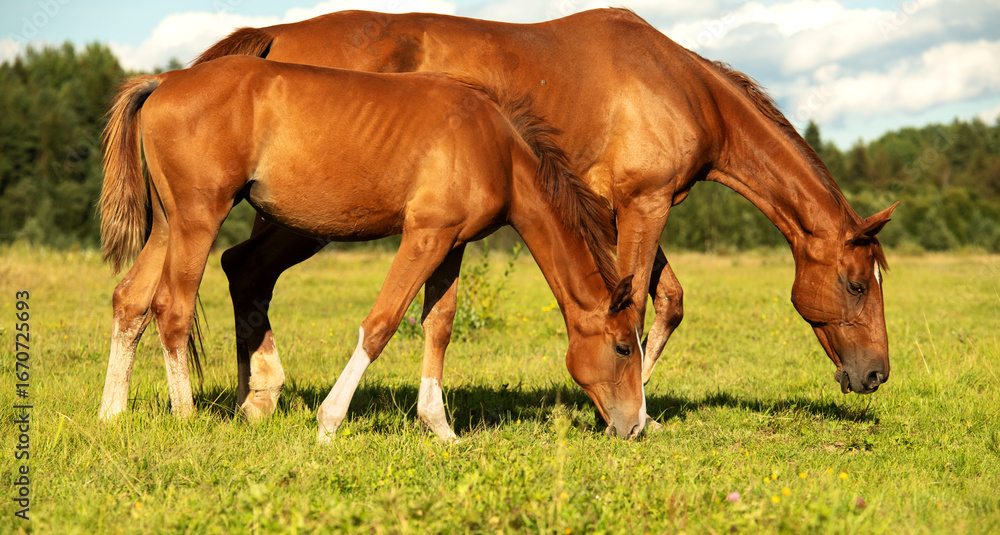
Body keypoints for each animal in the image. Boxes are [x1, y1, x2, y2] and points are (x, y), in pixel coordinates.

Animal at [97, 55, 647, 440]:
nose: (636, 425)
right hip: (198, 220)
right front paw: (328, 422)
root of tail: (164, 80)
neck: (495, 145)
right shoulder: (423, 236)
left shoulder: (451, 245)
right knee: (173, 308)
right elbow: (381, 324)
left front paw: (440, 428)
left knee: (131, 301)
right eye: (623, 347)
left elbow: (438, 327)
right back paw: (186, 416)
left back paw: (111, 412)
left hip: (167, 226)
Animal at [191, 8, 898, 426]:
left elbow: (663, 299)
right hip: (308, 219)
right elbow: (647, 306)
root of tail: (274, 39)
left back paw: (254, 399)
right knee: (245, 270)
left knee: (241, 271)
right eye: (856, 285)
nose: (875, 375)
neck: (677, 83)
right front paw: (631, 408)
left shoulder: (617, 210)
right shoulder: (643, 205)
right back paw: (258, 395)